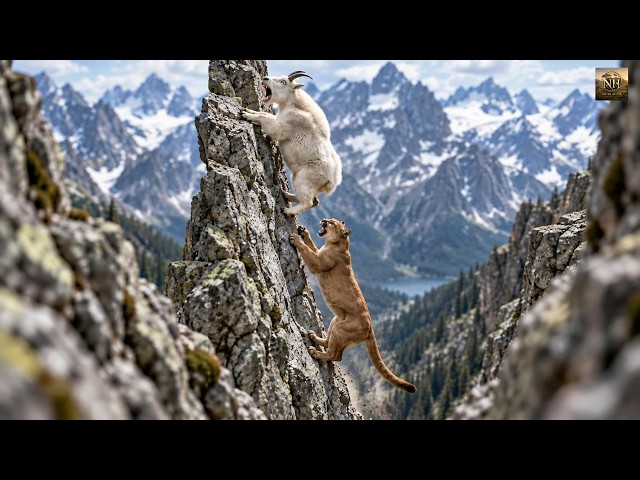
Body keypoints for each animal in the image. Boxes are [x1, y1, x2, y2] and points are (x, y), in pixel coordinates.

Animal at [240, 71, 342, 216]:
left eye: (284, 82)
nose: (265, 78)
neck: (294, 104)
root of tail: (333, 183)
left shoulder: (283, 125)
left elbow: (264, 118)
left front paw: (245, 114)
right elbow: (263, 114)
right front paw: (248, 110)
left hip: (305, 178)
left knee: (308, 202)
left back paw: (287, 210)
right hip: (300, 178)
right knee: (314, 201)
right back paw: (286, 194)